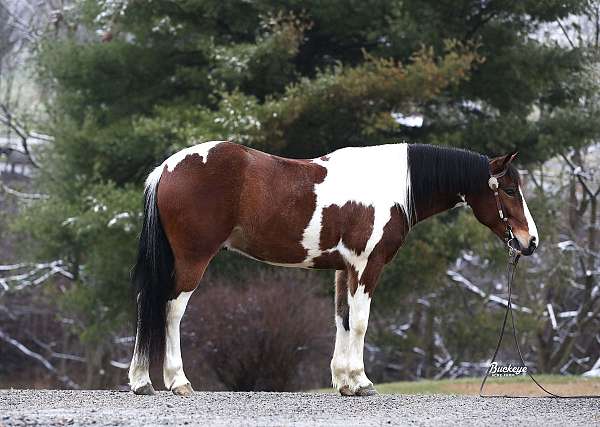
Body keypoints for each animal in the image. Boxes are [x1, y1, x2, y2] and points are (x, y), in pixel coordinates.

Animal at [126, 141, 540, 398]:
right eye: (508, 190)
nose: (530, 241)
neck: (390, 186)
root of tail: (166, 169)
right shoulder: (367, 265)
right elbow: (360, 322)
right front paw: (361, 381)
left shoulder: (345, 269)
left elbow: (342, 318)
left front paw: (343, 382)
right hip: (192, 259)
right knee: (170, 311)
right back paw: (177, 382)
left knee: (147, 306)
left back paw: (142, 381)